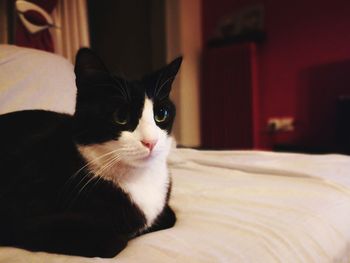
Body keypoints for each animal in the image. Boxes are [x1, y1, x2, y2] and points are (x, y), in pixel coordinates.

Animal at [0, 48, 182, 258]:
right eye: (121, 116)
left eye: (161, 114)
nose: (150, 142)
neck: (138, 179)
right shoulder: (22, 218)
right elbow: (114, 241)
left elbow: (169, 217)